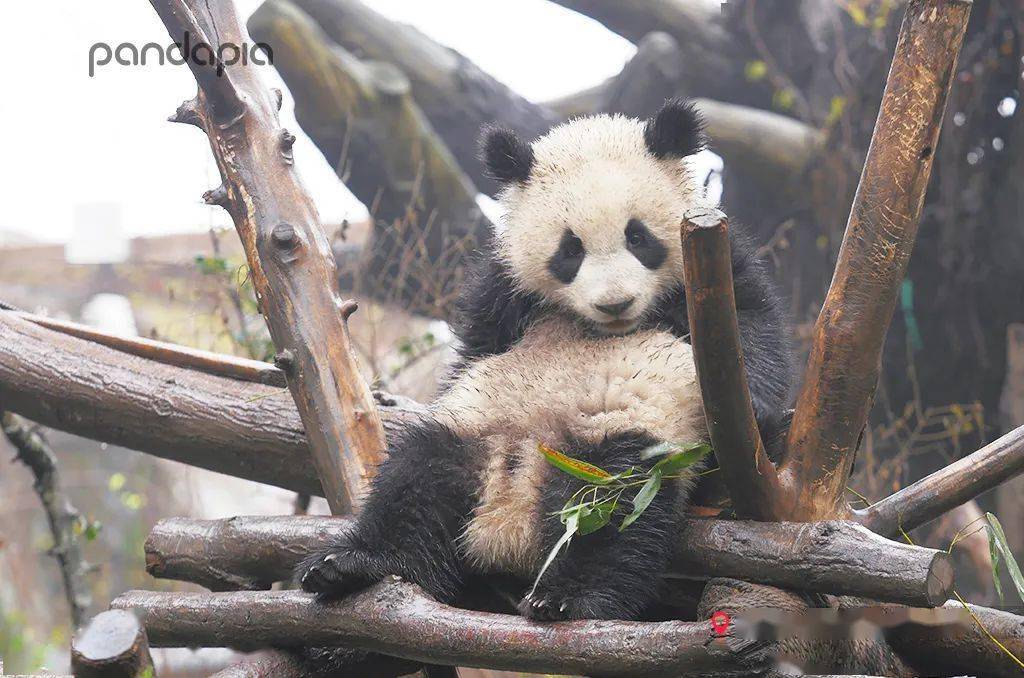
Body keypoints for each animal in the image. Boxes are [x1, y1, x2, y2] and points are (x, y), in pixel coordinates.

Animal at [296, 99, 790, 626]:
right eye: (570, 249)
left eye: (638, 237)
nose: (615, 303)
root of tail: (508, 516)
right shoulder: (504, 287)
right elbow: (477, 346)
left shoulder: (712, 261)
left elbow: (749, 324)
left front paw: (759, 413)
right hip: (473, 426)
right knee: (417, 475)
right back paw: (352, 564)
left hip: (624, 442)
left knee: (613, 504)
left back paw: (570, 596)